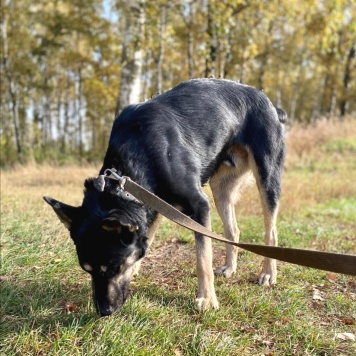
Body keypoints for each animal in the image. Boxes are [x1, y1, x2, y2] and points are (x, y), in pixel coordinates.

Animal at [43, 78, 286, 318]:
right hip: (221, 189)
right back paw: (230, 268)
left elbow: (202, 258)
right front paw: (137, 266)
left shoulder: (199, 206)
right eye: (86, 270)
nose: (104, 311)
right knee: (233, 230)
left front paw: (207, 299)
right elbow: (147, 236)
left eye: (115, 268)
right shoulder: (155, 202)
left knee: (271, 231)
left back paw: (268, 273)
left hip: (267, 177)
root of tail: (269, 103)